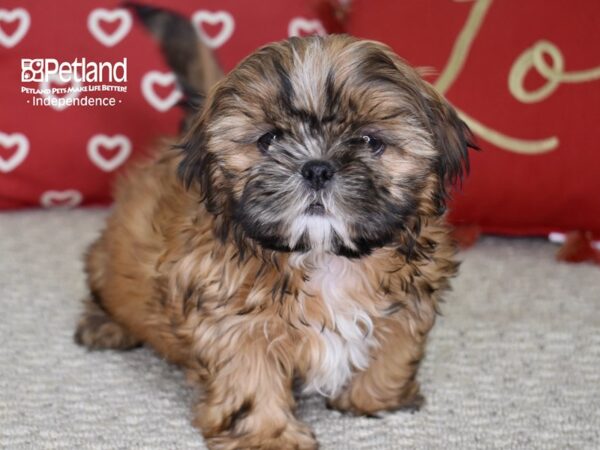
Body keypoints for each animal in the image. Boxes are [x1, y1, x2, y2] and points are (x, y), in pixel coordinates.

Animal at [75, 4, 476, 450]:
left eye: (370, 141)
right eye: (268, 140)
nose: (317, 168)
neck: (322, 254)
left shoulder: (413, 293)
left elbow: (396, 348)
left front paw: (373, 399)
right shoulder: (230, 315)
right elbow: (249, 378)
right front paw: (269, 435)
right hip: (111, 259)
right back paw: (105, 324)